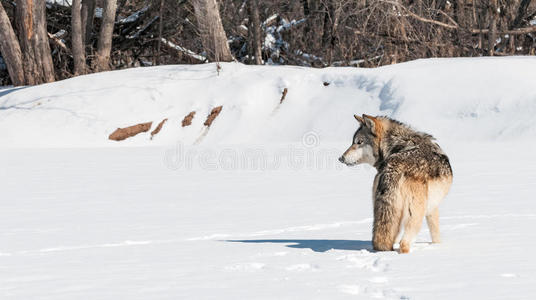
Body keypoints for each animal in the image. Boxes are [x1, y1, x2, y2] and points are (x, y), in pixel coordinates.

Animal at [340, 115, 452, 253]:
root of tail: (393, 167)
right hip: (414, 216)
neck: (397, 144)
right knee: (404, 243)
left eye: (359, 142)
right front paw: (437, 247)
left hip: (389, 214)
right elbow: (436, 235)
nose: (341, 158)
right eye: (354, 142)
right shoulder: (432, 207)